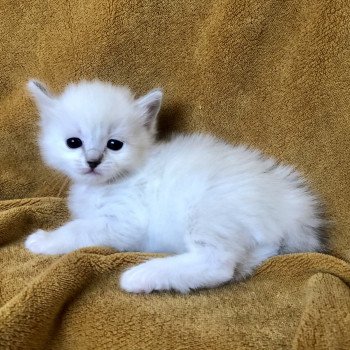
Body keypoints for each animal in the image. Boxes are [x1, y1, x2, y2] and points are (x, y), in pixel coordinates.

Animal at [23, 78, 326, 292]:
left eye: (114, 144)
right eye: (73, 142)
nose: (93, 161)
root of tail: (292, 207)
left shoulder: (124, 220)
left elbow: (78, 229)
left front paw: (45, 241)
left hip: (207, 212)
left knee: (218, 264)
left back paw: (141, 276)